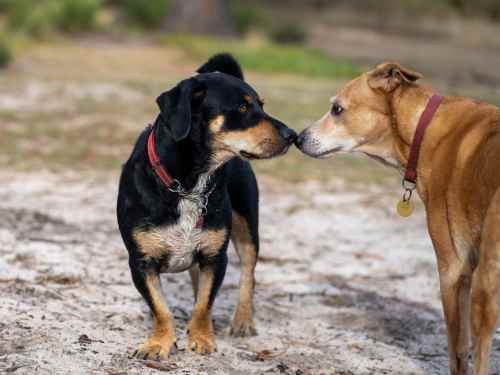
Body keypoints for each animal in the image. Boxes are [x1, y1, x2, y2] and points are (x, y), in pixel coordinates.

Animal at [117, 53, 296, 362]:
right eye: (242, 107)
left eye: (261, 105)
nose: (293, 135)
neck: (189, 184)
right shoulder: (140, 262)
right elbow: (160, 307)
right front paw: (159, 342)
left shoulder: (215, 256)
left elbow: (205, 303)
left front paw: (201, 338)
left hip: (247, 227)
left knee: (248, 273)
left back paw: (243, 321)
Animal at [294, 62, 500, 375]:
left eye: (337, 109)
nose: (297, 138)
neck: (424, 129)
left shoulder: (453, 269)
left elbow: (458, 352)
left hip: (486, 282)